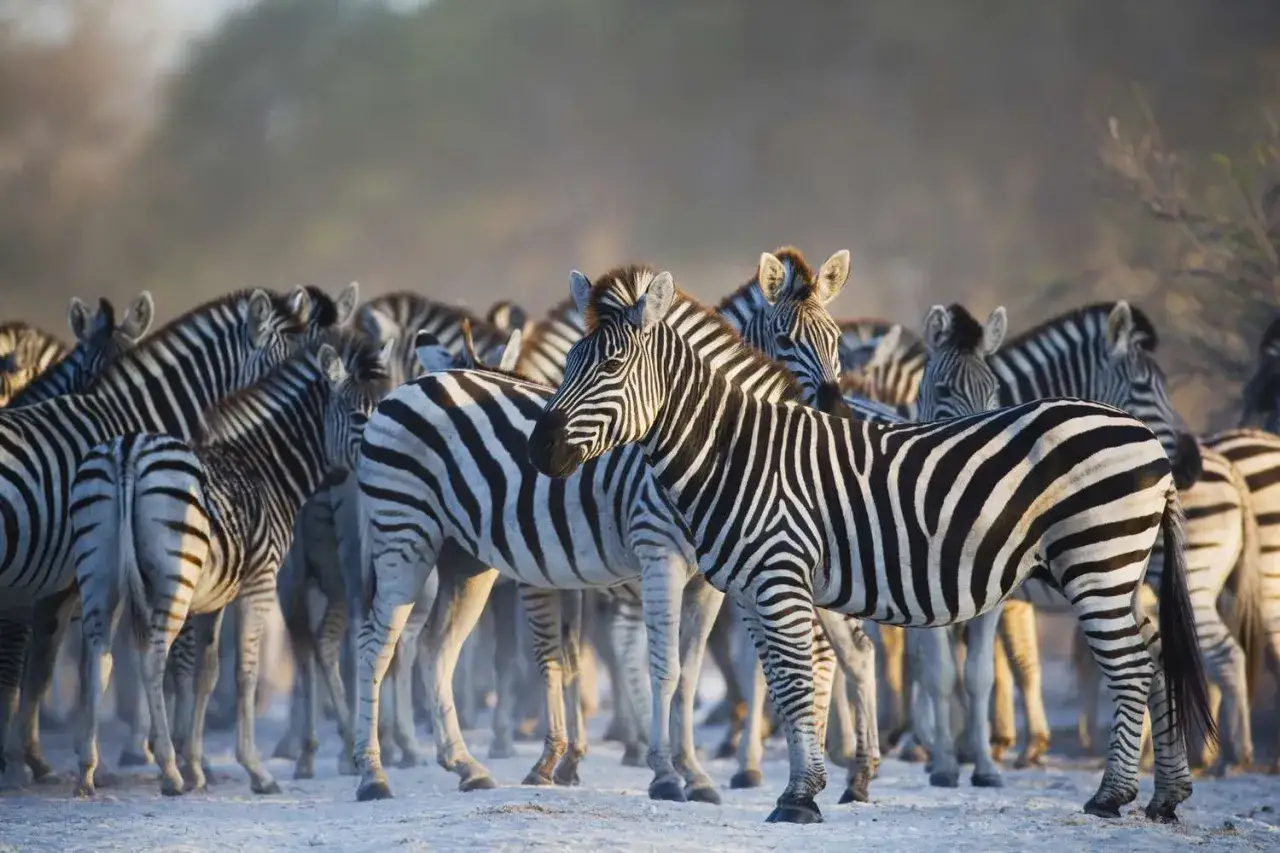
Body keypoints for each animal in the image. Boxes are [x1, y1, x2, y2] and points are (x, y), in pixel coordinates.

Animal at [69, 329, 390, 797]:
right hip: (172, 581)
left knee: (98, 661)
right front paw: (254, 770)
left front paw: (197, 767)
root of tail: (128, 450)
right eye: (358, 415)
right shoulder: (259, 581)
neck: (268, 467)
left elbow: (207, 673)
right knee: (151, 659)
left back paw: (87, 772)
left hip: (98, 575)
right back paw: (167, 770)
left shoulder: (214, 597)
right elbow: (244, 673)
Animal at [352, 249, 882, 807]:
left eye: (836, 340)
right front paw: (663, 774)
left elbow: (690, 673)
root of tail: (411, 385)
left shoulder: (709, 581)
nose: (836, 414)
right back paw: (373, 774)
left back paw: (465, 766)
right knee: (374, 646)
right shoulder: (658, 556)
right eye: (783, 340)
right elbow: (657, 667)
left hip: (464, 559)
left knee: (435, 650)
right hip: (404, 536)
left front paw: (695, 775)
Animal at [529, 264, 1214, 824]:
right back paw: (1166, 795)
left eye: (611, 368)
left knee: (1131, 665)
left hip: (1096, 561)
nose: (540, 450)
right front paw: (801, 786)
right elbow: (779, 681)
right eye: (568, 365)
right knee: (1157, 655)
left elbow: (799, 681)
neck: (736, 451)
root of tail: (1144, 438)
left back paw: (1110, 797)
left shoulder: (780, 577)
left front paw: (799, 797)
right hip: (1118, 566)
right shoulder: (750, 588)